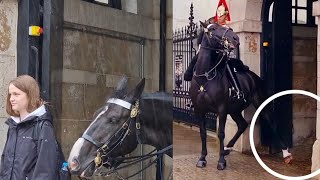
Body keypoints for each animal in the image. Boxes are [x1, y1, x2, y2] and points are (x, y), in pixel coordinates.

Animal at [190, 22, 292, 170]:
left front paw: (221, 161)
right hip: (234, 110)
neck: (205, 78)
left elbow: (221, 133)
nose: (235, 38)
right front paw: (202, 158)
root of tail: (255, 77)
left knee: (271, 123)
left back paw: (286, 153)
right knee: (242, 124)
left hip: (259, 104)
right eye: (213, 28)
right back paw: (227, 148)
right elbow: (203, 133)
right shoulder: (200, 110)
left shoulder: (221, 109)